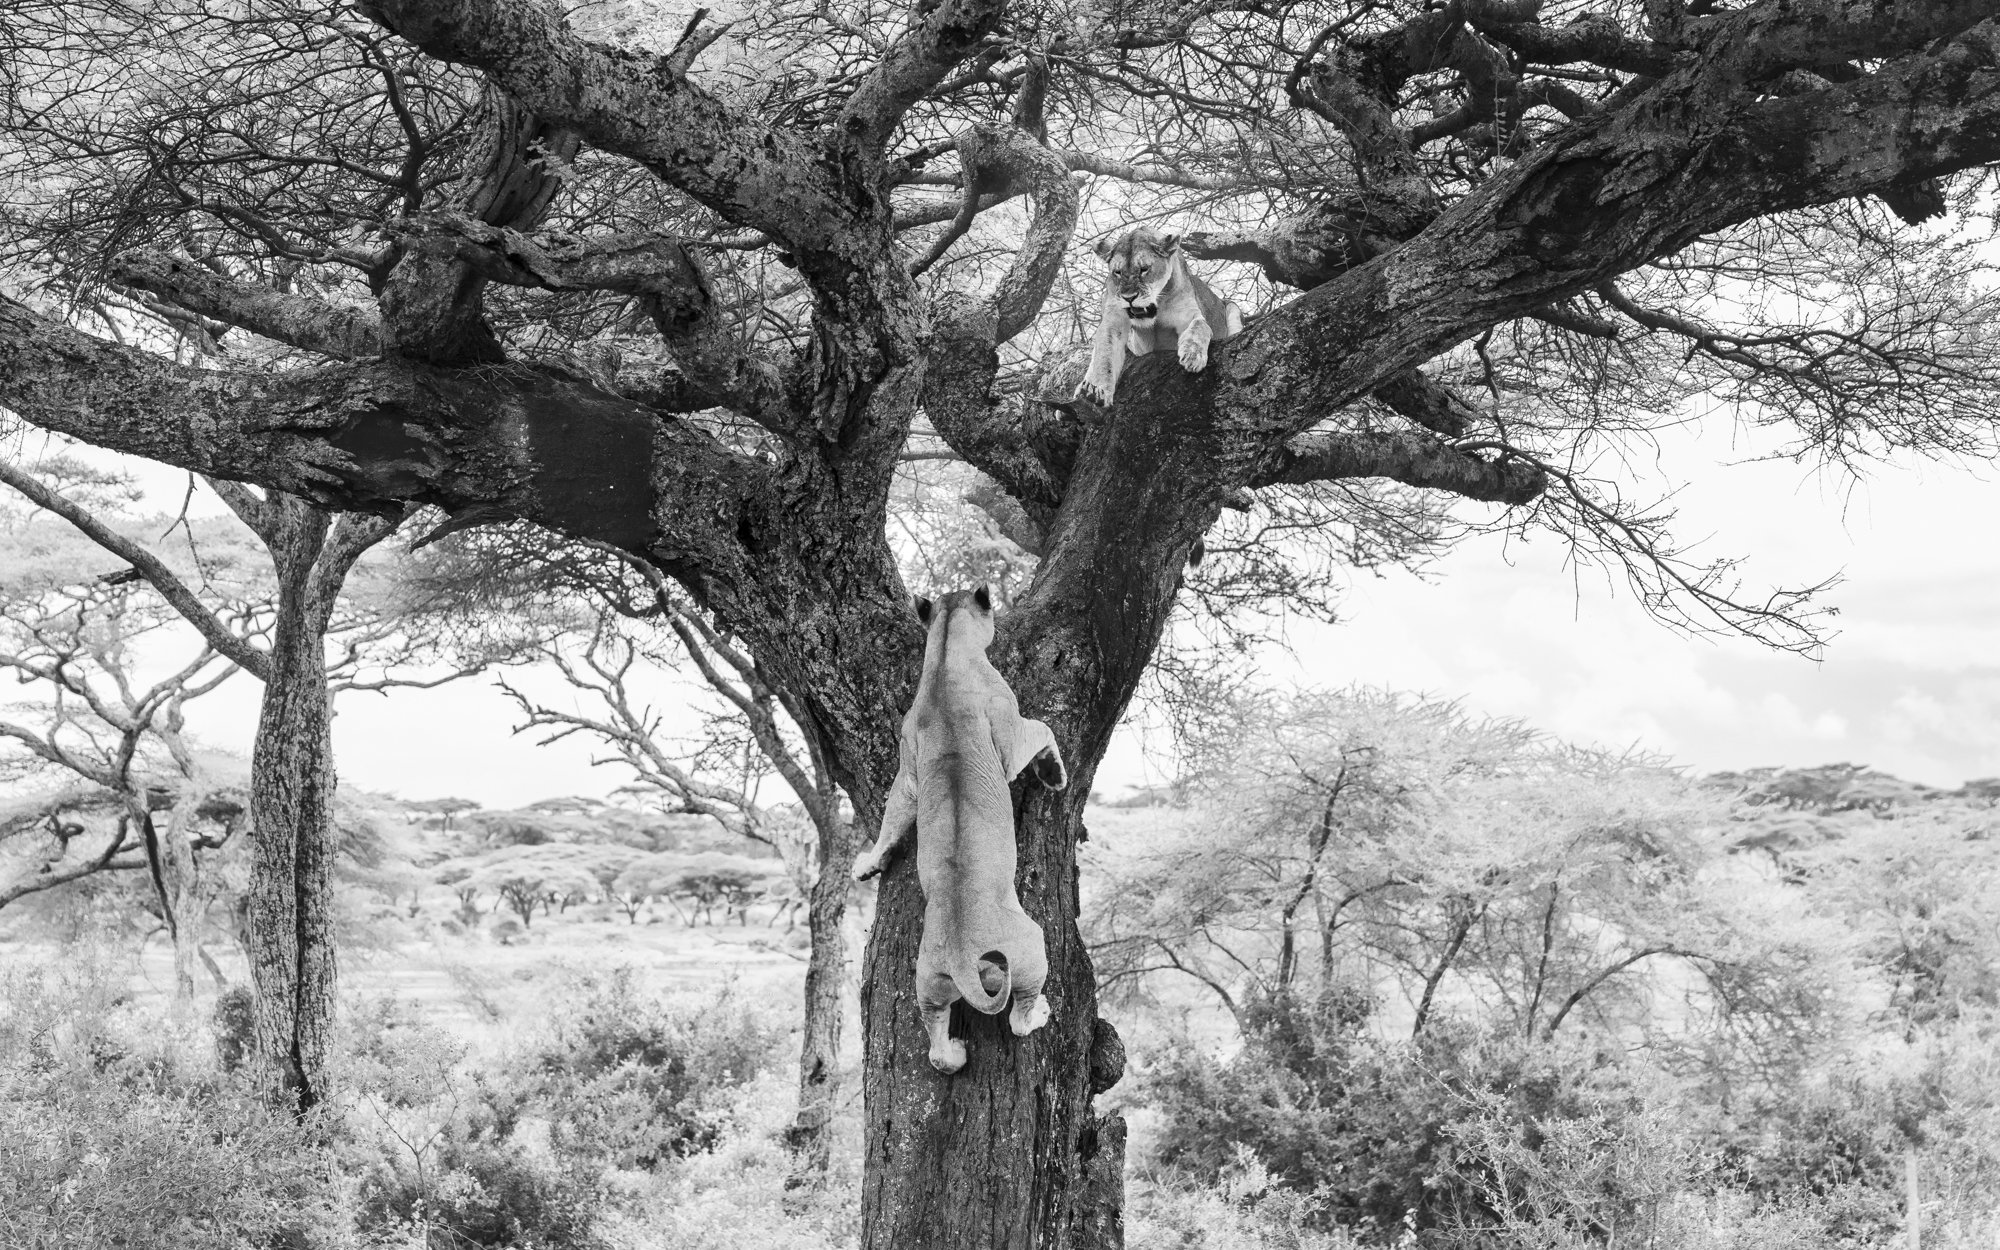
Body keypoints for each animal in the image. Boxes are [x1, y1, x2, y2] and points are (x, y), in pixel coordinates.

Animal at [851, 586, 1067, 1074]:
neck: (946, 657)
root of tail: (959, 955)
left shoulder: (908, 769)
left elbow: (894, 813)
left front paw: (870, 863)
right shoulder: (1008, 734)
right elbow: (1044, 727)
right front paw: (1054, 774)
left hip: (928, 984)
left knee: (936, 1049)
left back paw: (954, 1052)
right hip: (1030, 947)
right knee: (1019, 1019)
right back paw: (1040, 1013)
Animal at [1073, 225, 1246, 407]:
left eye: (1144, 269)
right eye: (1117, 272)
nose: (1129, 297)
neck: (1158, 306)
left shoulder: (1189, 315)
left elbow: (1200, 327)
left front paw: (1192, 356)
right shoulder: (1114, 320)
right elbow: (1104, 355)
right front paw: (1094, 390)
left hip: (1233, 307)